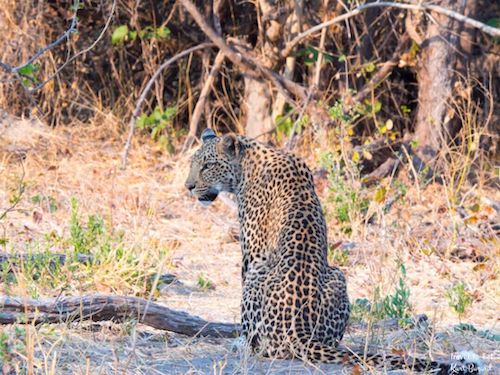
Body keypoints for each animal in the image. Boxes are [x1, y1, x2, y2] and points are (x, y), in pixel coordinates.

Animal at [186, 129, 478, 374]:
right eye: (193, 164)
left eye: (208, 165)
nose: (188, 186)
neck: (248, 163)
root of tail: (300, 332)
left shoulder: (254, 252)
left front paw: (240, 341)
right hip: (339, 276)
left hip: (259, 280)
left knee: (265, 346)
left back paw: (243, 345)